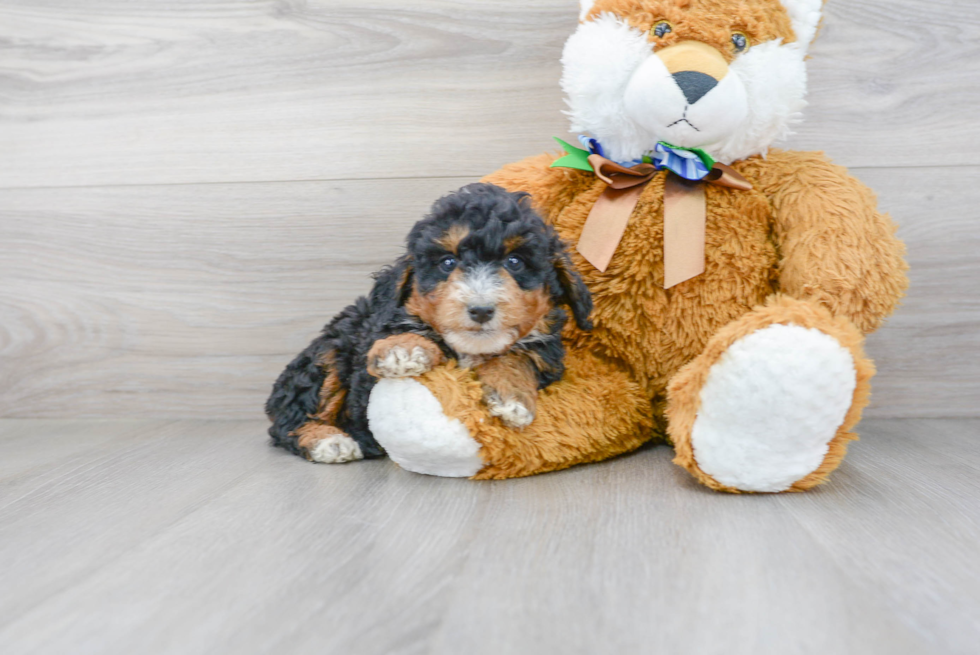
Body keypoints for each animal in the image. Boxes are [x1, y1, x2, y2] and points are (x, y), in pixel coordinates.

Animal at [264, 182, 592, 464]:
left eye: (515, 262)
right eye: (447, 263)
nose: (481, 310)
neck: (470, 349)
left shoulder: (546, 353)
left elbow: (516, 357)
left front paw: (512, 398)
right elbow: (408, 332)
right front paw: (402, 350)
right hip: (328, 353)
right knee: (290, 420)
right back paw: (329, 441)